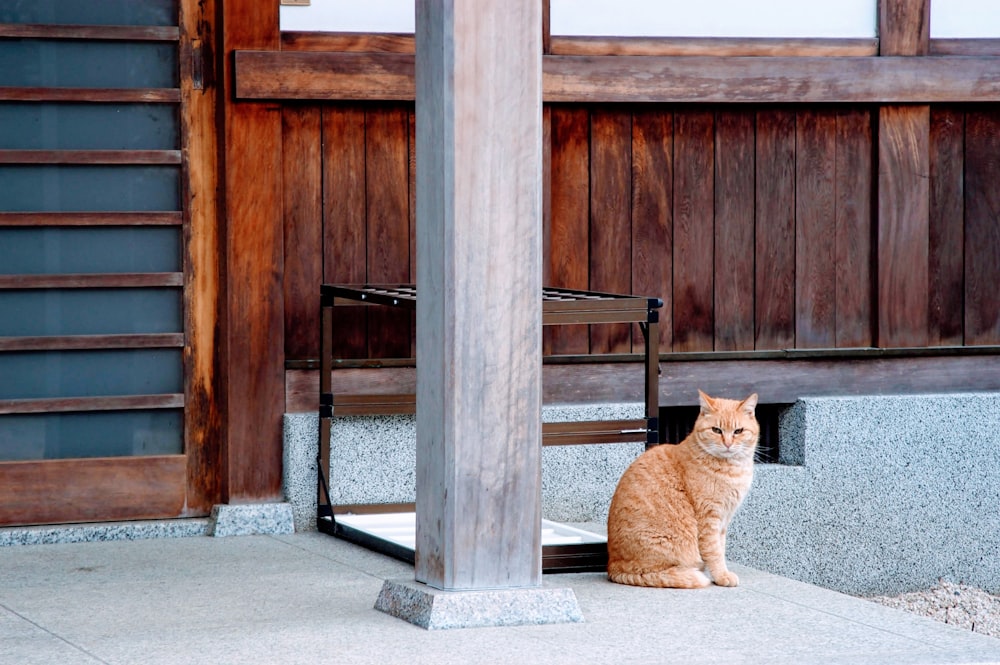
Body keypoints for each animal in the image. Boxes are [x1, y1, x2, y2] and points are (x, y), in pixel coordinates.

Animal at [604, 390, 760, 588]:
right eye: (716, 430)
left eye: (738, 431)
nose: (728, 443)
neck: (732, 469)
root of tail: (612, 567)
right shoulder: (709, 518)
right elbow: (714, 551)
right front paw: (721, 575)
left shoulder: (724, 519)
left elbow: (721, 547)